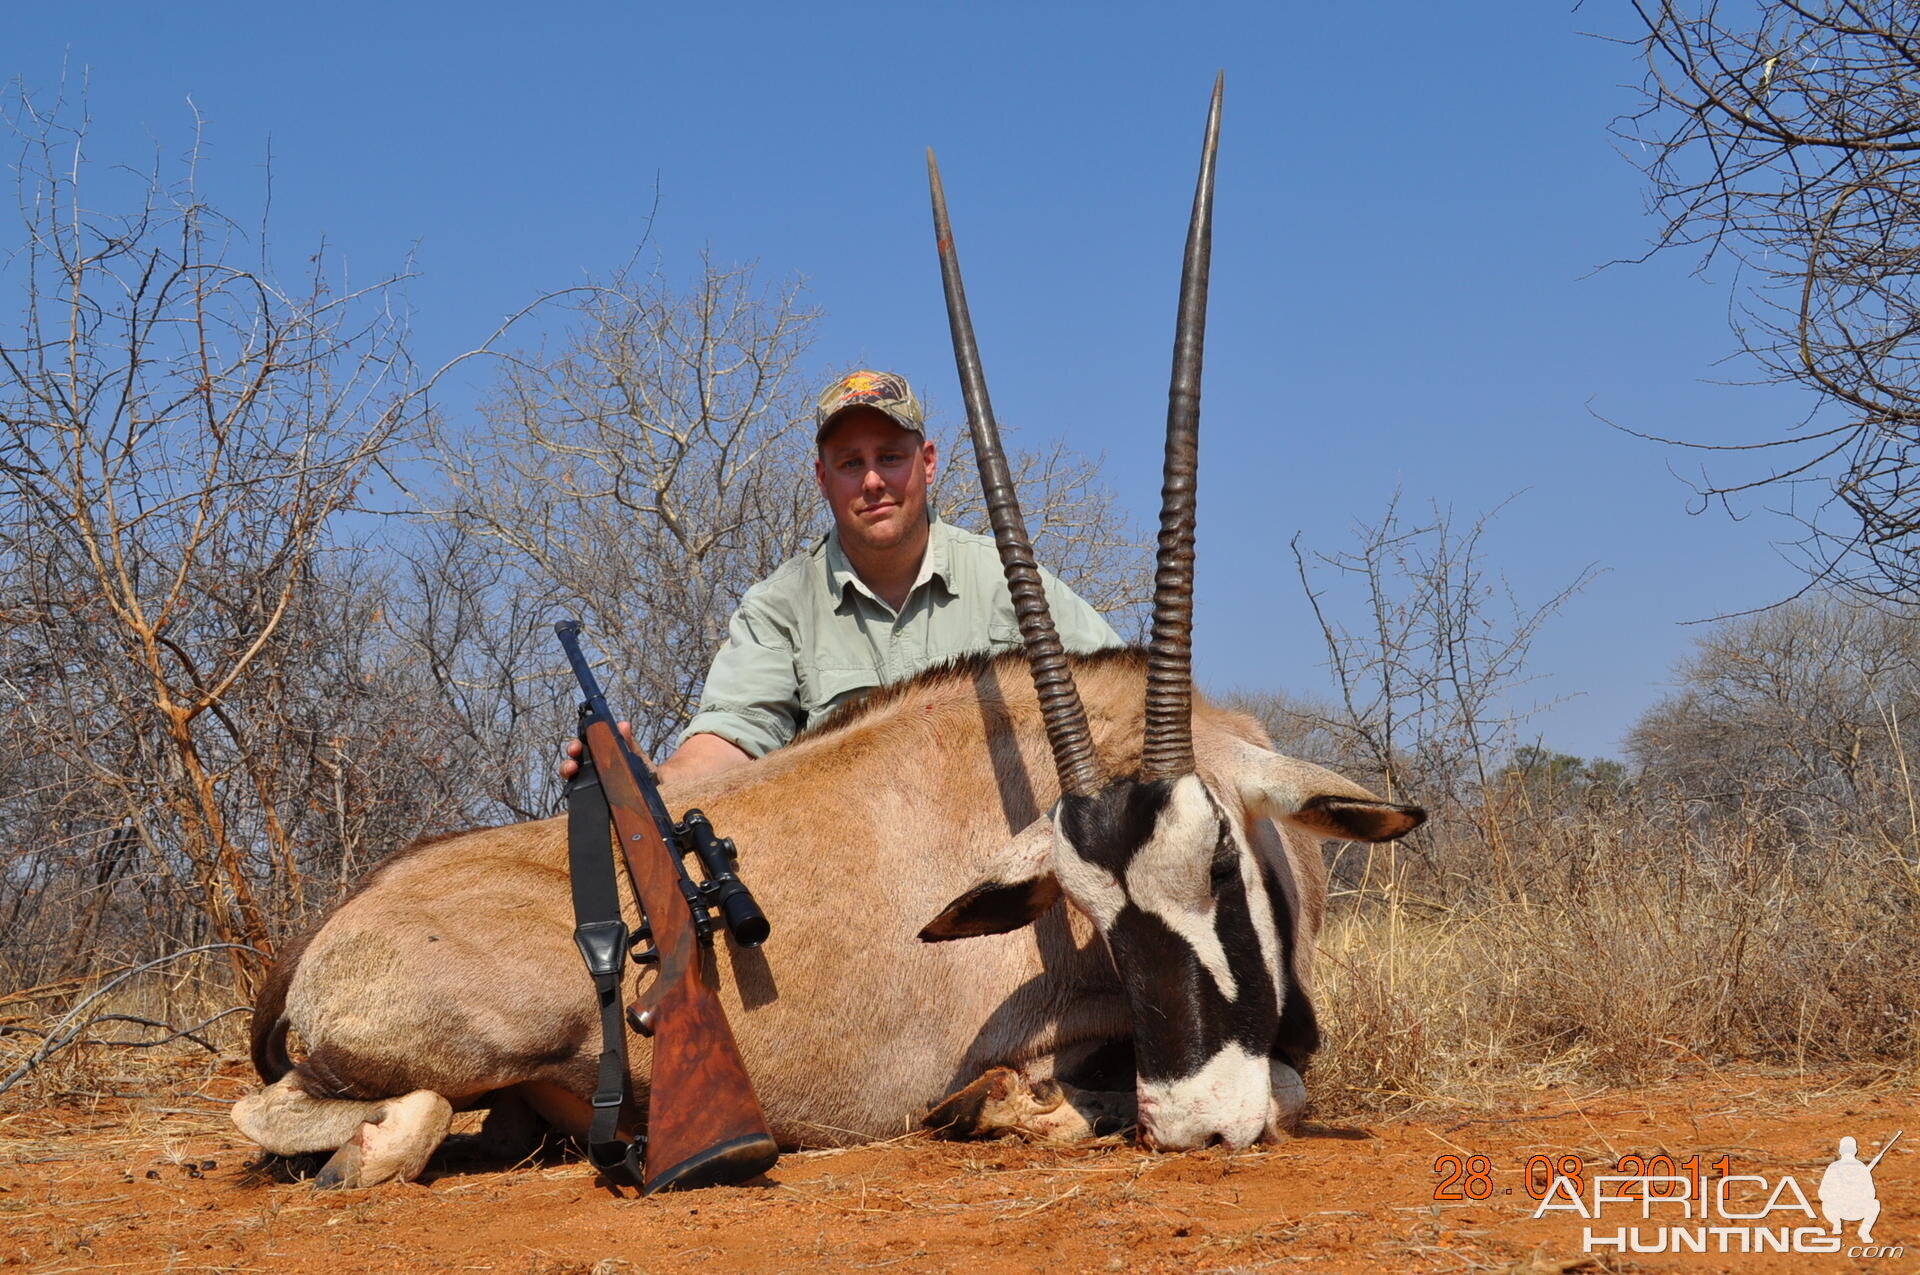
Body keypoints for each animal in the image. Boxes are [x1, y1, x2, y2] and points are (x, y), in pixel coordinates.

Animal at [232, 79, 1420, 1190]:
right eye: (1087, 906)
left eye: (1220, 859)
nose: (1196, 1123)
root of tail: (335, 926)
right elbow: (1232, 1085)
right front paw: (1004, 1107)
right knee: (308, 1114)